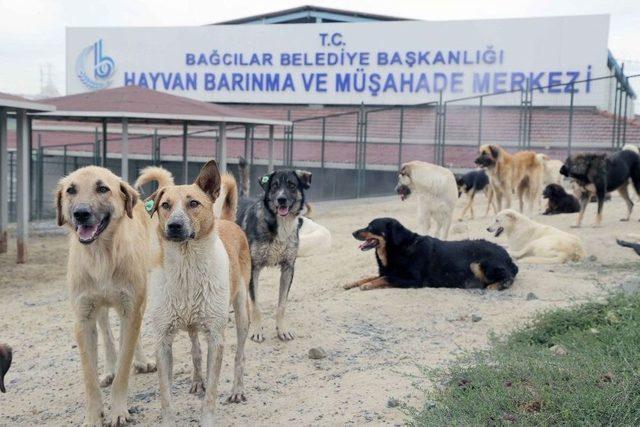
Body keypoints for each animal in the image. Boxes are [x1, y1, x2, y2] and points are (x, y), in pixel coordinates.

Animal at [55, 167, 165, 427]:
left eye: (103, 188)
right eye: (71, 190)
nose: (81, 213)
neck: (100, 258)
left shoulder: (130, 310)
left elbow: (125, 367)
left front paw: (118, 411)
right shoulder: (83, 319)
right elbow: (89, 378)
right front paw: (94, 416)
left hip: (139, 302)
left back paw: (141, 361)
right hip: (100, 308)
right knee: (106, 331)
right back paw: (108, 369)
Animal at [140, 162, 252, 426]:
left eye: (193, 203)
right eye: (165, 205)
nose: (174, 226)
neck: (187, 265)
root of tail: (226, 221)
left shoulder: (216, 338)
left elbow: (211, 392)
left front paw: (207, 419)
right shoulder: (162, 341)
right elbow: (166, 394)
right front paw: (169, 420)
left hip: (242, 313)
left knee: (240, 355)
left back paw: (237, 390)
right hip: (191, 326)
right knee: (195, 350)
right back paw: (197, 380)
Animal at [238, 159, 312, 342]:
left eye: (292, 185)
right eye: (274, 186)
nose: (281, 199)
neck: (280, 225)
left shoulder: (288, 268)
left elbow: (282, 305)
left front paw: (282, 330)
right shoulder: (254, 268)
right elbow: (256, 305)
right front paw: (257, 330)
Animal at [342, 219, 516, 292]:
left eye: (371, 227)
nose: (352, 233)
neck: (398, 248)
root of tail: (508, 257)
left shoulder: (414, 280)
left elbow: (385, 278)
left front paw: (369, 285)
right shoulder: (388, 271)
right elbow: (369, 276)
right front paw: (352, 283)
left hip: (477, 264)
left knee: (509, 277)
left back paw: (497, 285)